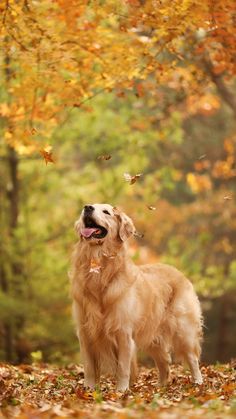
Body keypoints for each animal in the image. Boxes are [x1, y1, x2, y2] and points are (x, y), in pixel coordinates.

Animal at [70, 205, 203, 392]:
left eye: (106, 212)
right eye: (90, 206)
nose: (87, 208)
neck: (100, 271)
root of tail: (179, 272)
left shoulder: (123, 332)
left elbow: (122, 368)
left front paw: (121, 391)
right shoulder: (85, 332)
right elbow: (88, 367)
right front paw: (88, 389)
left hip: (183, 329)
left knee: (192, 358)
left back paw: (198, 383)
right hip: (153, 336)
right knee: (164, 362)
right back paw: (160, 387)